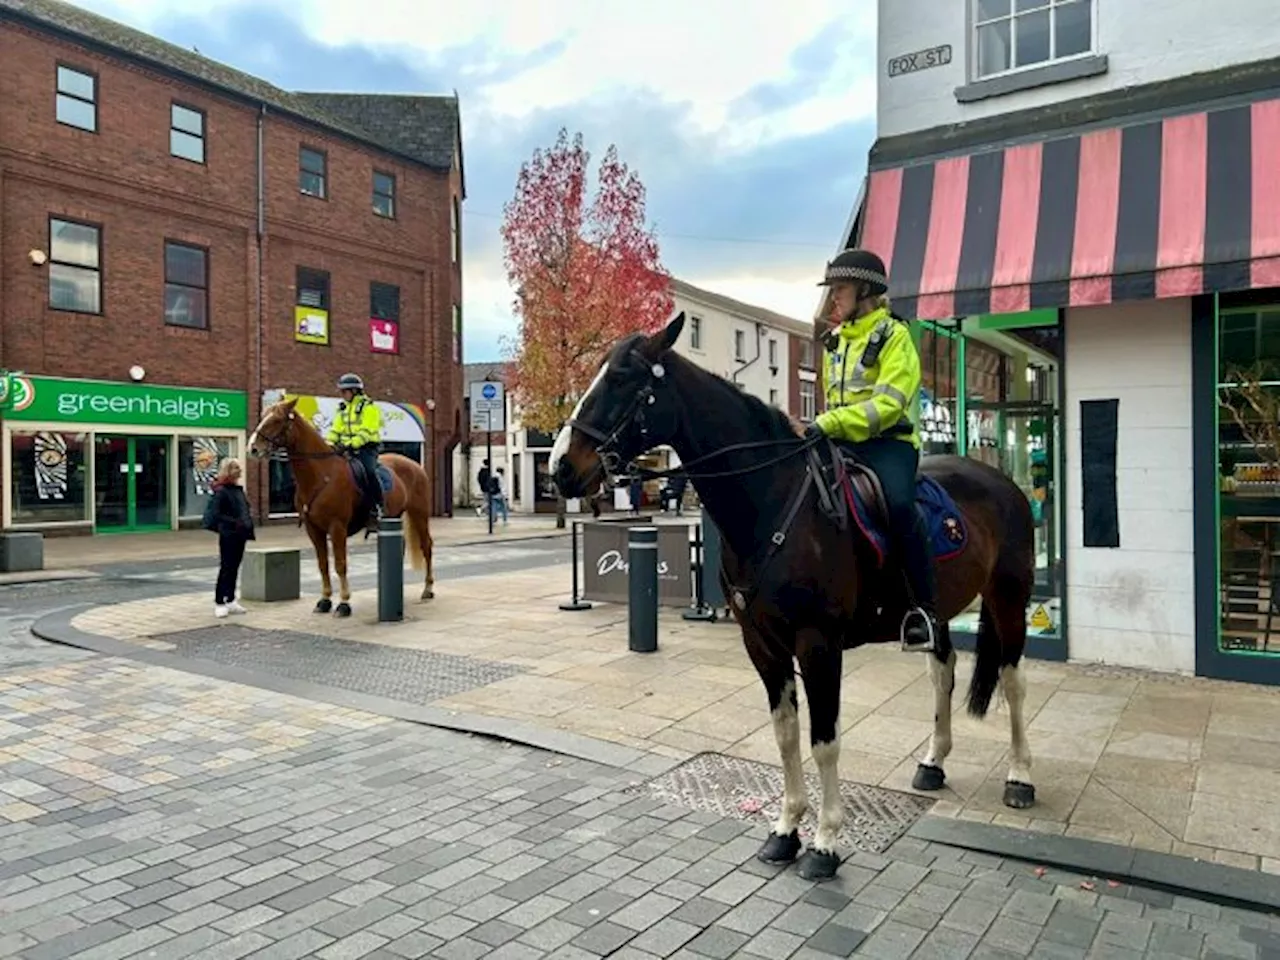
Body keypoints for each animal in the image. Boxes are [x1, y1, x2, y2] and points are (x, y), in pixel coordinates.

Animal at [247, 399, 437, 616]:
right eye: (263, 417)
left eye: (277, 420)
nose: (252, 448)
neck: (321, 475)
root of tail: (415, 465)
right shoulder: (314, 529)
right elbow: (323, 564)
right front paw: (324, 600)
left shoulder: (337, 527)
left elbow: (340, 564)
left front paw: (344, 603)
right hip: (394, 516)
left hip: (419, 514)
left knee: (427, 546)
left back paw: (428, 589)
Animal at [550, 312, 1039, 885]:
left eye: (624, 379)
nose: (561, 467)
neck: (772, 500)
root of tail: (1002, 480)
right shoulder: (762, 643)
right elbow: (786, 735)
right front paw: (785, 830)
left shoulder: (818, 643)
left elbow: (824, 740)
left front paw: (825, 842)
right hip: (936, 612)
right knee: (942, 672)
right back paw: (933, 762)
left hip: (1009, 598)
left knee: (1013, 681)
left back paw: (1020, 776)